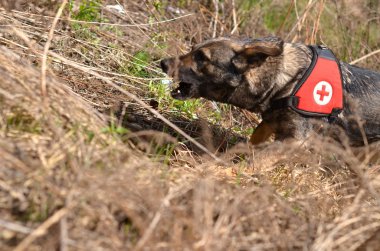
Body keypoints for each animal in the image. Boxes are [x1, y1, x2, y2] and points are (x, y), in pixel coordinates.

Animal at [160, 36, 380, 146]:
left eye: (202, 58)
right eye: (192, 49)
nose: (163, 63)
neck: (286, 80)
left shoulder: (294, 140)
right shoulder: (268, 123)